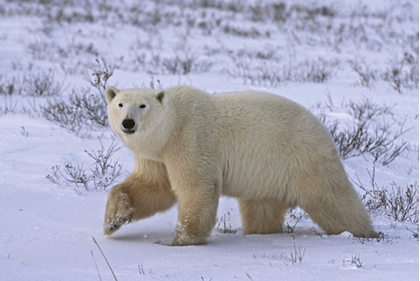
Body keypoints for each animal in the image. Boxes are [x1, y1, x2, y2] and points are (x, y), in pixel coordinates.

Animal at [102, 85, 378, 245]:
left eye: (142, 105)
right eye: (120, 104)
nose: (128, 123)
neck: (172, 127)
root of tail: (323, 129)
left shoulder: (191, 139)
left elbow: (196, 187)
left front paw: (182, 239)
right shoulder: (156, 156)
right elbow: (153, 187)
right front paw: (112, 221)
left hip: (302, 158)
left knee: (332, 200)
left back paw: (366, 233)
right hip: (267, 175)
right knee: (261, 208)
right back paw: (260, 232)